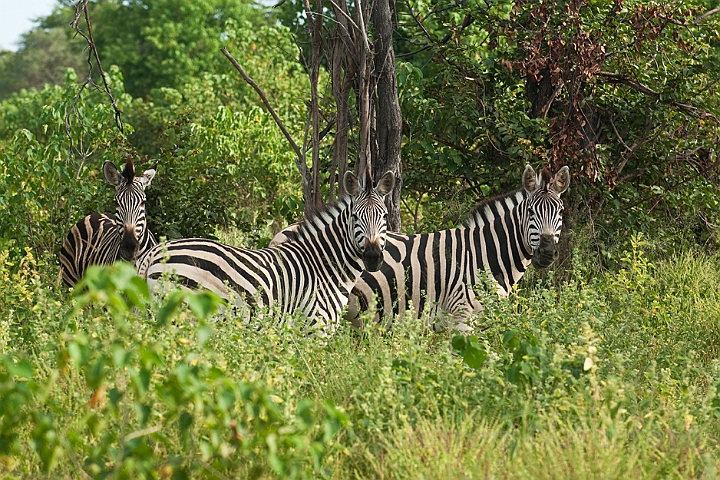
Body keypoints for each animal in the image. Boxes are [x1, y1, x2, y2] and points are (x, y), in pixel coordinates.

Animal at [135, 171, 394, 336]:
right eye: (355, 217)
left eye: (384, 216)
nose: (373, 257)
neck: (324, 268)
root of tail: (154, 252)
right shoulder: (315, 329)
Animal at [272, 163, 572, 332]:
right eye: (531, 212)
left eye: (560, 211)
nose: (547, 253)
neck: (483, 256)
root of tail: (281, 234)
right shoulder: (460, 319)